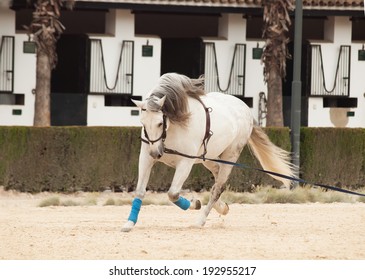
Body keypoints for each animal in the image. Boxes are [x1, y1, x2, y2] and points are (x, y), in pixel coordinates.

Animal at [121, 72, 294, 232]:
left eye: (159, 123)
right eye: (143, 123)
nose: (156, 153)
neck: (173, 127)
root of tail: (246, 109)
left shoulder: (185, 163)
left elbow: (173, 194)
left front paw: (195, 203)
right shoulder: (146, 157)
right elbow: (140, 191)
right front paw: (129, 223)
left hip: (230, 156)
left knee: (217, 188)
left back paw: (200, 220)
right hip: (209, 158)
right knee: (217, 182)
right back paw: (222, 207)